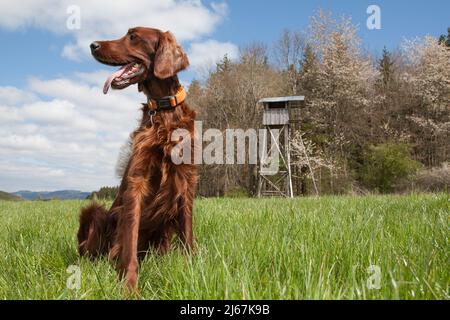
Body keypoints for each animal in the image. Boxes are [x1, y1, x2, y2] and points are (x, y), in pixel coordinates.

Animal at [77, 27, 197, 288]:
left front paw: (194, 270)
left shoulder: (186, 181)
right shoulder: (137, 182)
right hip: (95, 212)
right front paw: (129, 285)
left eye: (133, 36)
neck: (163, 112)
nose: (92, 45)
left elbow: (188, 234)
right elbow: (129, 240)